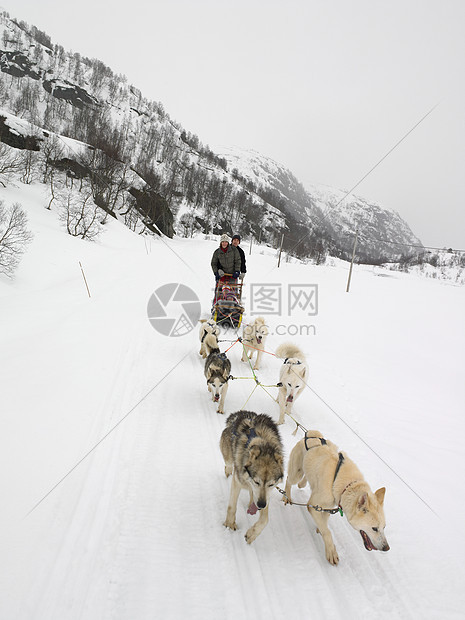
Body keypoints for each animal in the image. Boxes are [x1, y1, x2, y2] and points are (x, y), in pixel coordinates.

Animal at [220, 412, 282, 544]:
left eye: (271, 484)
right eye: (256, 482)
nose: (261, 505)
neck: (264, 446)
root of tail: (239, 414)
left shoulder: (265, 496)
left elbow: (265, 520)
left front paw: (252, 534)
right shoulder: (237, 482)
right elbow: (232, 506)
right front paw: (229, 524)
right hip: (228, 458)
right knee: (228, 465)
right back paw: (228, 473)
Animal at [282, 428, 388, 564]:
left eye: (384, 527)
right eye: (374, 528)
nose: (387, 548)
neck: (345, 485)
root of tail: (311, 434)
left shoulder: (327, 507)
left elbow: (324, 522)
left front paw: (320, 527)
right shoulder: (312, 505)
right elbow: (327, 532)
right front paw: (331, 551)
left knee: (304, 481)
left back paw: (303, 483)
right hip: (296, 473)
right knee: (289, 480)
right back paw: (286, 497)